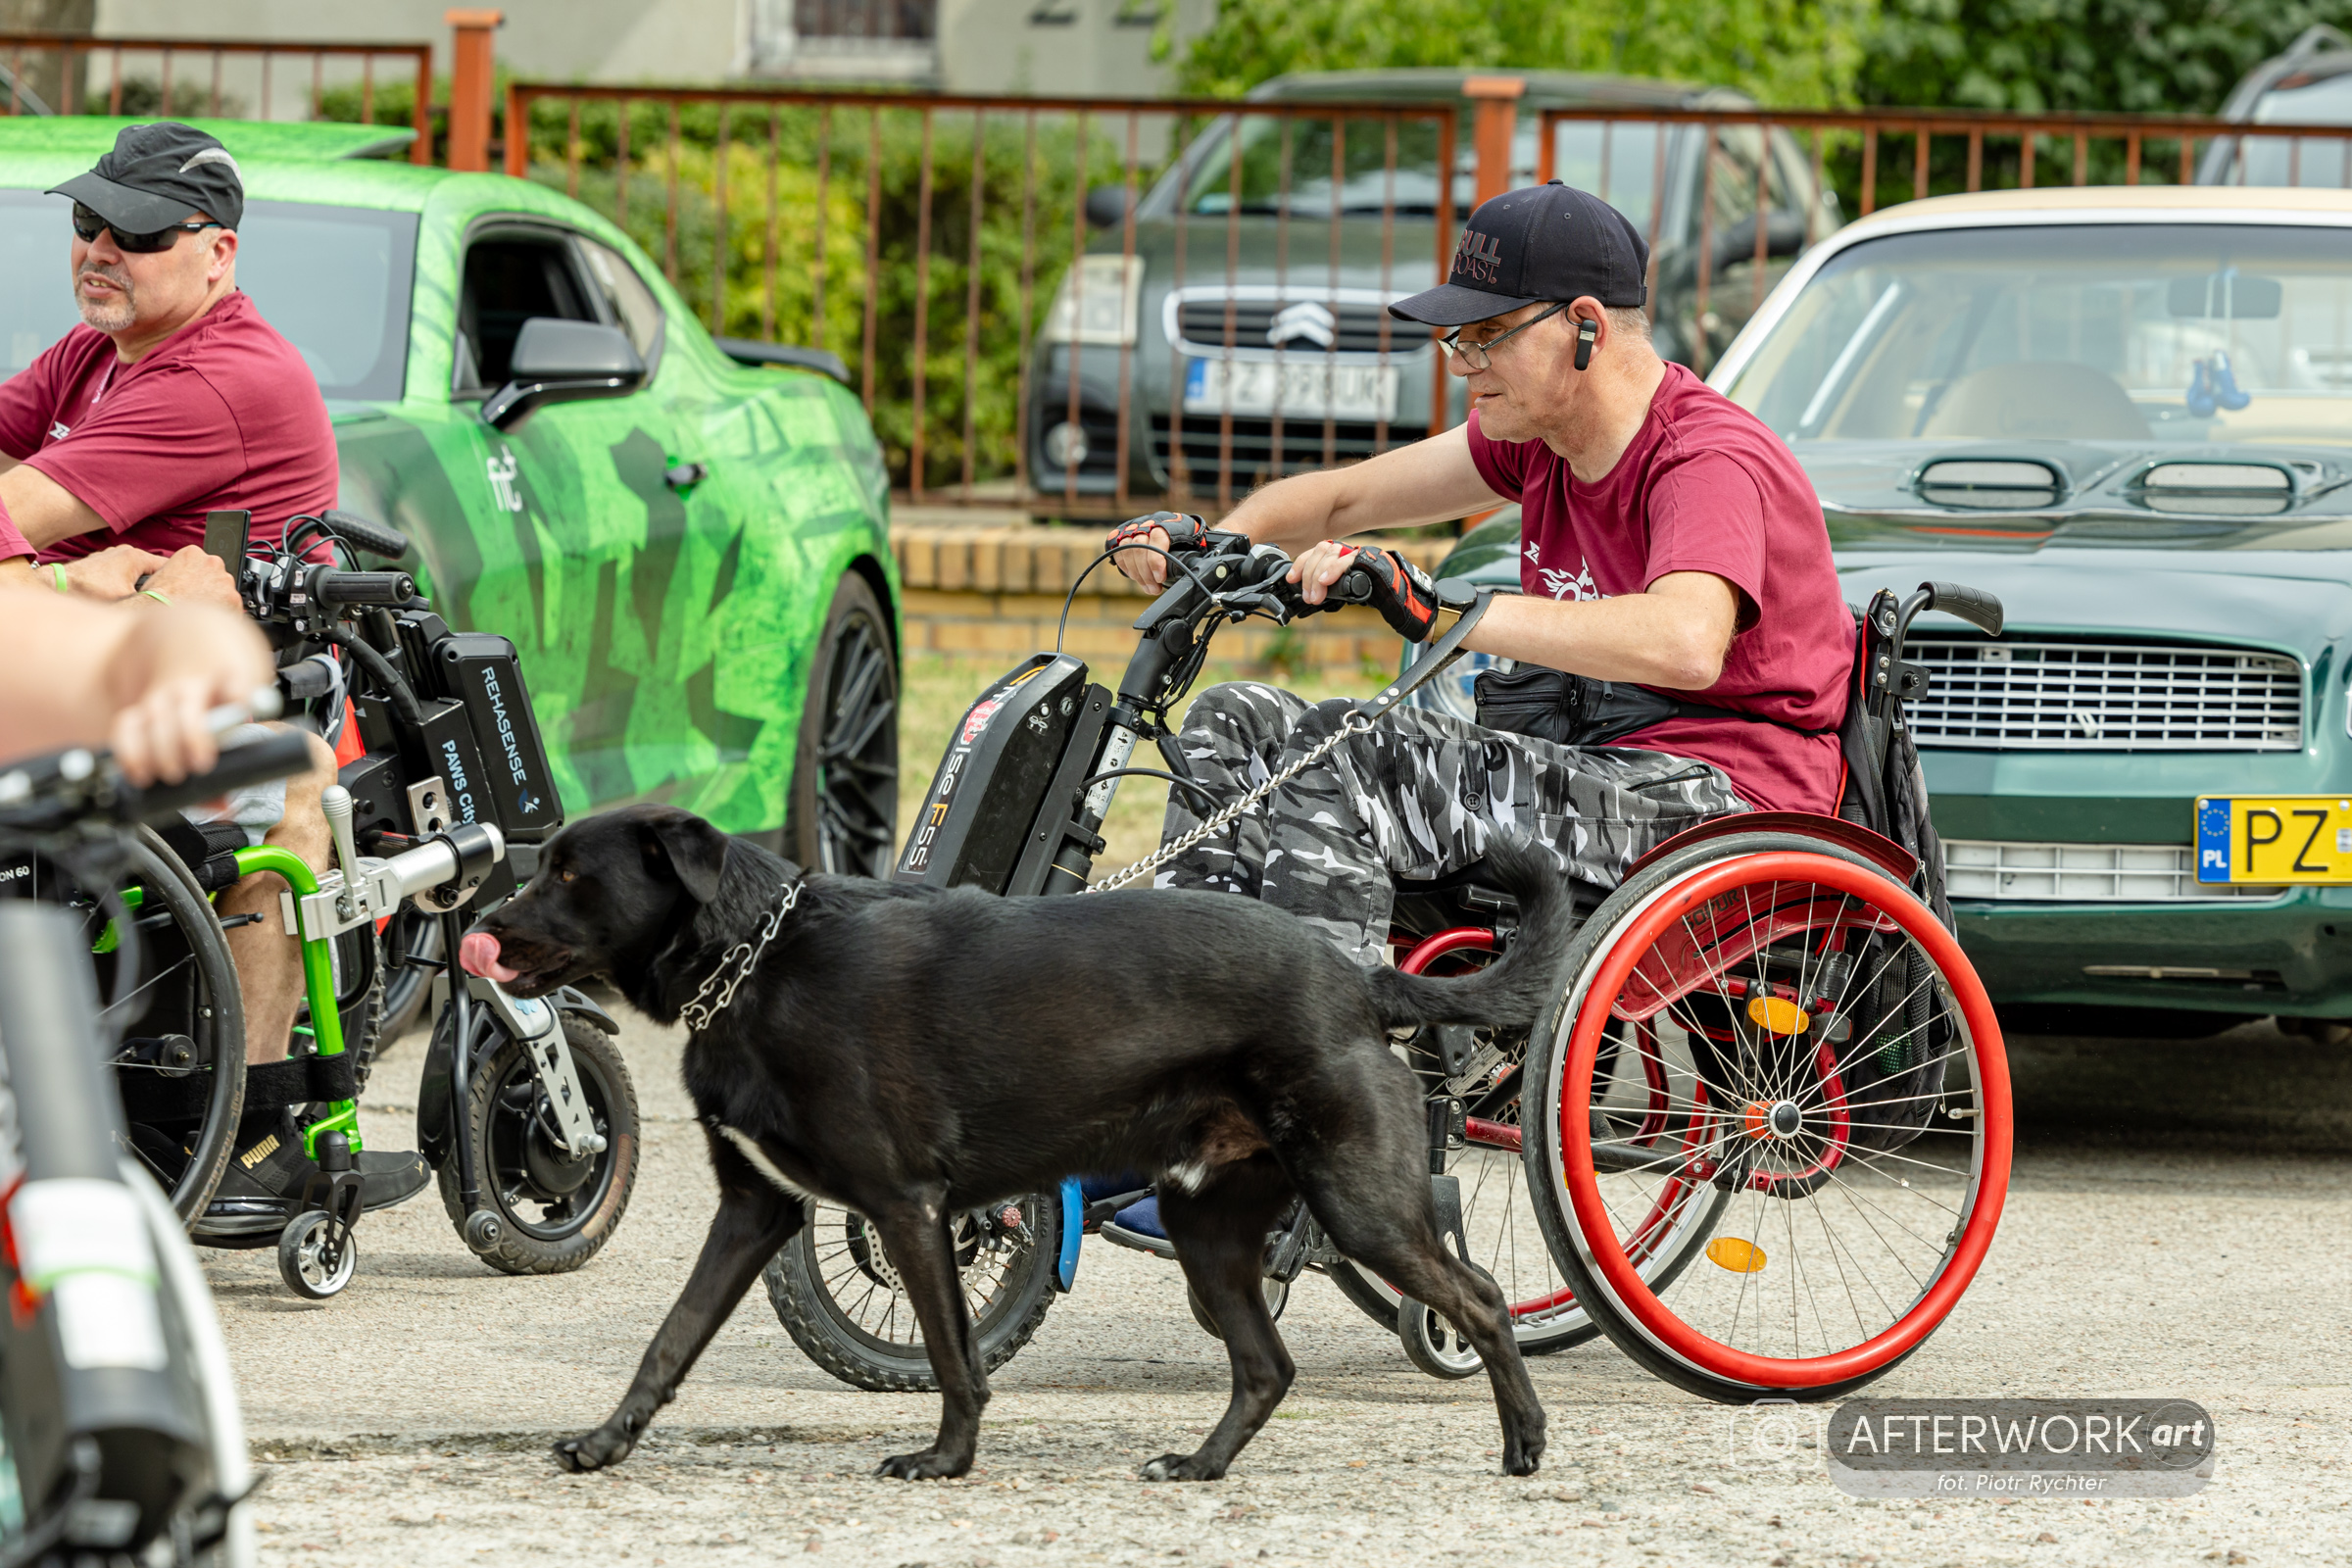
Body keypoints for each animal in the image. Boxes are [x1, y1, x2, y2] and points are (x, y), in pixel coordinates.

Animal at [461, 808, 1571, 1486]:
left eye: (570, 873)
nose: (481, 924)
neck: (757, 959)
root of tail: (1360, 978)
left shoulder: (907, 1207)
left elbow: (954, 1354)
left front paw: (944, 1460)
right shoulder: (754, 1210)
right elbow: (670, 1338)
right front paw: (606, 1442)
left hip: (1358, 1202)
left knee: (1479, 1298)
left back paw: (1525, 1442)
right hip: (1206, 1228)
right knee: (1266, 1366)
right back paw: (1200, 1465)